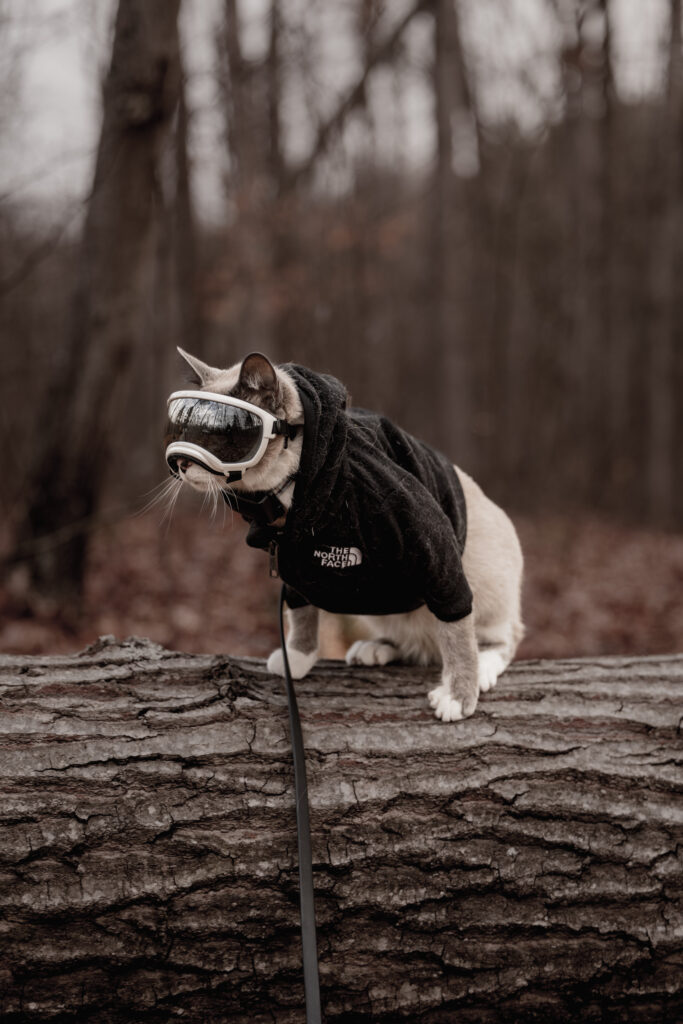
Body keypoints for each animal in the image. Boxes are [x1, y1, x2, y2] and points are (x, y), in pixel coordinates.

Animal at [169, 350, 524, 720]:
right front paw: (297, 659)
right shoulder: (296, 570)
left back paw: (479, 670)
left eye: (218, 434)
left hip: (481, 584)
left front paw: (457, 698)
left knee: (497, 638)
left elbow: (457, 636)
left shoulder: (437, 557)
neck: (287, 502)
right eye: (182, 428)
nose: (180, 461)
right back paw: (375, 650)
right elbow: (301, 617)